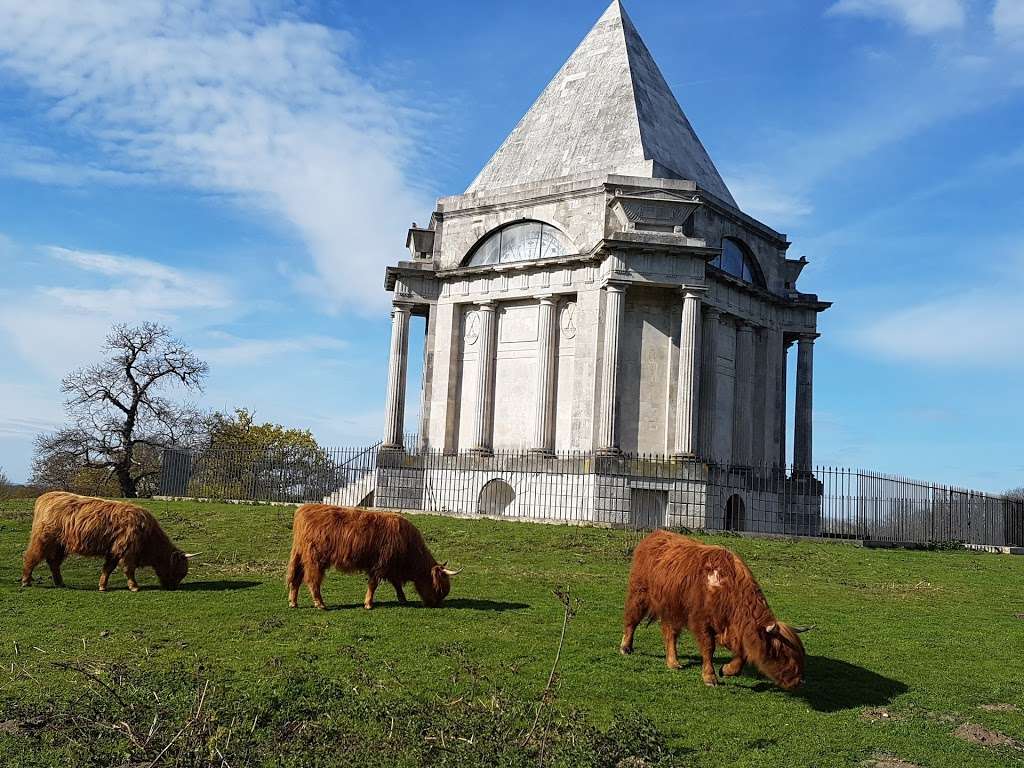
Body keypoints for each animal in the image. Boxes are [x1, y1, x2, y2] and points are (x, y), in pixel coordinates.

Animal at [22, 493, 196, 593]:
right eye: (180, 571)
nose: (174, 588)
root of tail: (46, 496)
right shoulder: (127, 550)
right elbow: (128, 570)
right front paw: (134, 586)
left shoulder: (115, 550)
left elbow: (108, 568)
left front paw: (102, 586)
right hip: (43, 540)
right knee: (32, 557)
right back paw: (26, 580)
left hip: (60, 545)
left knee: (53, 563)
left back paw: (60, 583)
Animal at [282, 507, 454, 610]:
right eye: (439, 588)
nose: (435, 604)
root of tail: (304, 508)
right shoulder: (381, 564)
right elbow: (373, 584)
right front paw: (368, 604)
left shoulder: (391, 568)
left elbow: (396, 584)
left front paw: (402, 599)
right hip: (315, 560)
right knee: (312, 580)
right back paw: (320, 604)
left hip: (299, 557)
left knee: (296, 579)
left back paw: (293, 602)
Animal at [618, 536, 811, 692]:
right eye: (783, 654)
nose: (798, 682)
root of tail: (655, 535)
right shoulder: (702, 622)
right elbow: (708, 648)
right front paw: (710, 677)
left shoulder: (736, 630)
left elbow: (742, 655)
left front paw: (726, 670)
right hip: (640, 594)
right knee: (632, 620)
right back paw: (625, 647)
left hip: (672, 609)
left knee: (670, 633)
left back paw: (673, 662)